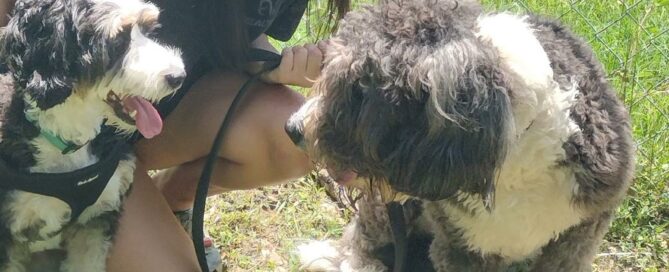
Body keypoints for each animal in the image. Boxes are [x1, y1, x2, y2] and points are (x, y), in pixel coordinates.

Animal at [286, 0, 632, 270]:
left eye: (356, 90)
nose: (292, 129)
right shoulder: (458, 245)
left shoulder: (578, 236)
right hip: (386, 212)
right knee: (362, 241)